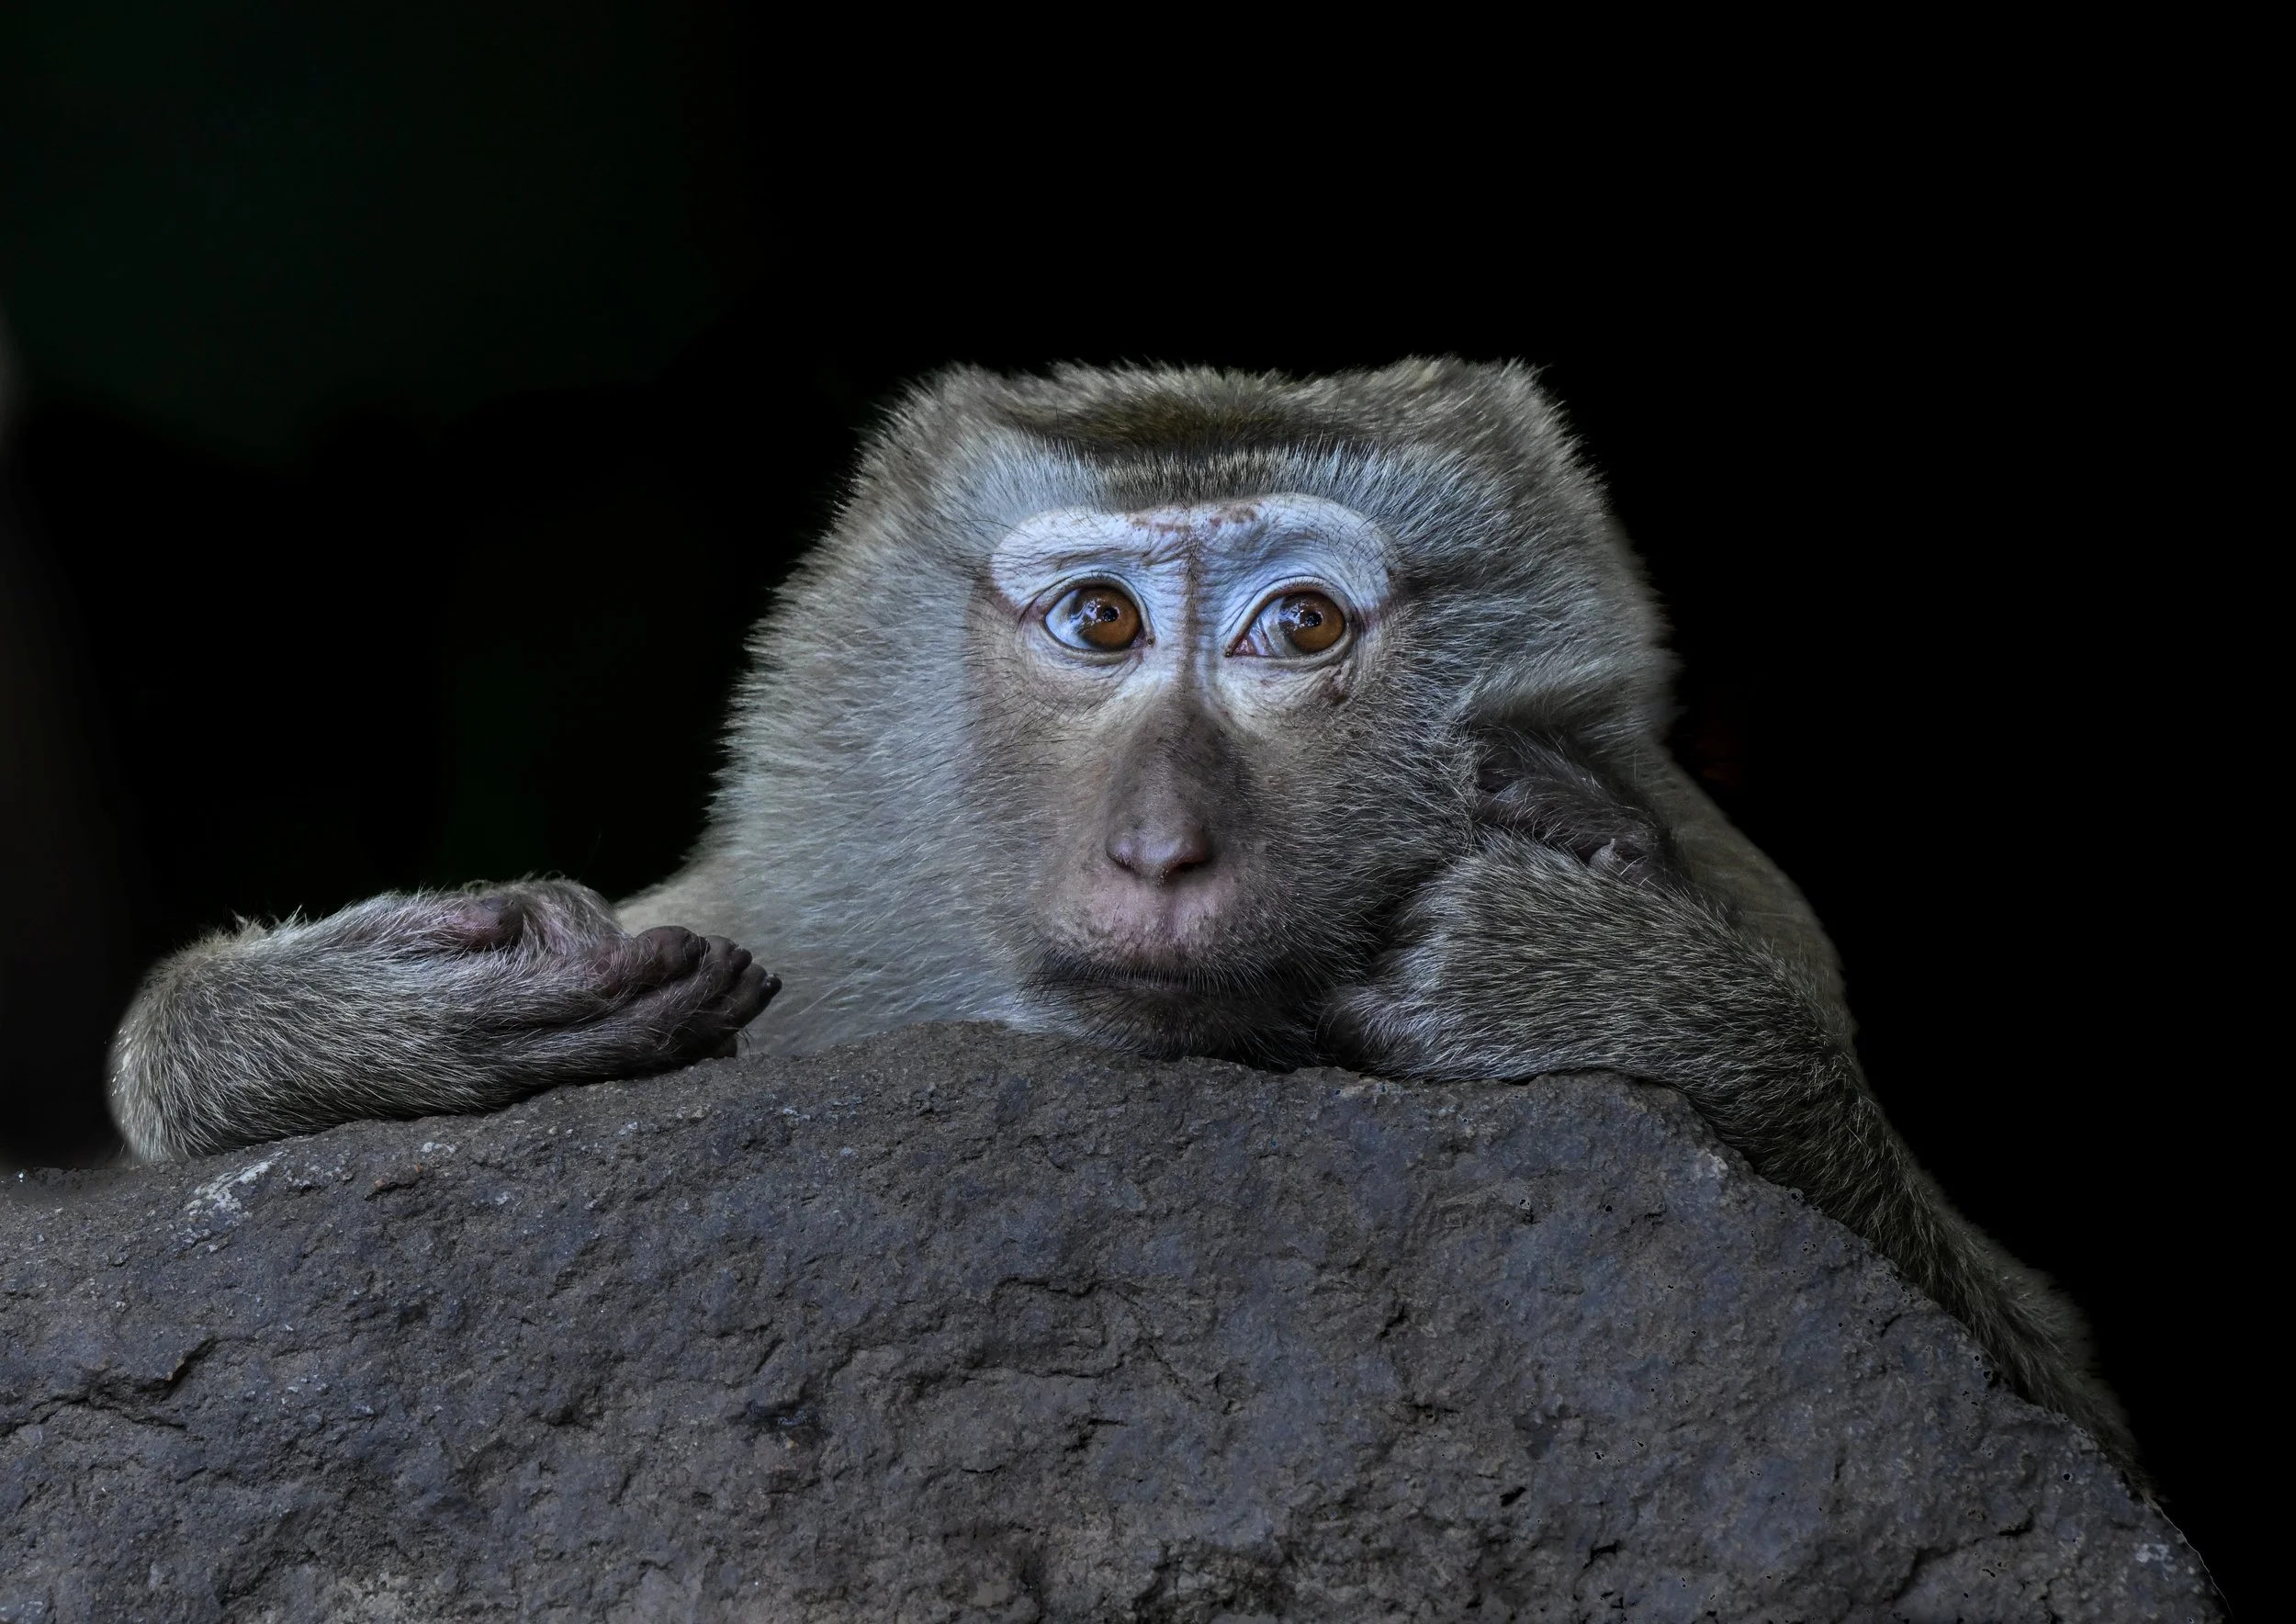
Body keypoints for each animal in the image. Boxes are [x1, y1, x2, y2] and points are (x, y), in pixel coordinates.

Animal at [103, 360, 2137, 1470]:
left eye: (1298, 626)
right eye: (1095, 621)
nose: (1160, 846)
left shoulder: (1759, 882)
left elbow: (2056, 1411)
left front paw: (1607, 970)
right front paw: (341, 1022)